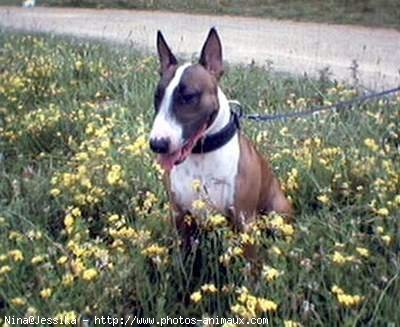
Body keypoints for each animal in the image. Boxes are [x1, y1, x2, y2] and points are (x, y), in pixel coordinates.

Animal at [148, 27, 292, 243]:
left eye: (188, 96)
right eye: (157, 96)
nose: (158, 144)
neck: (201, 155)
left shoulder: (244, 221)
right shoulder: (179, 215)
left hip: (277, 213)